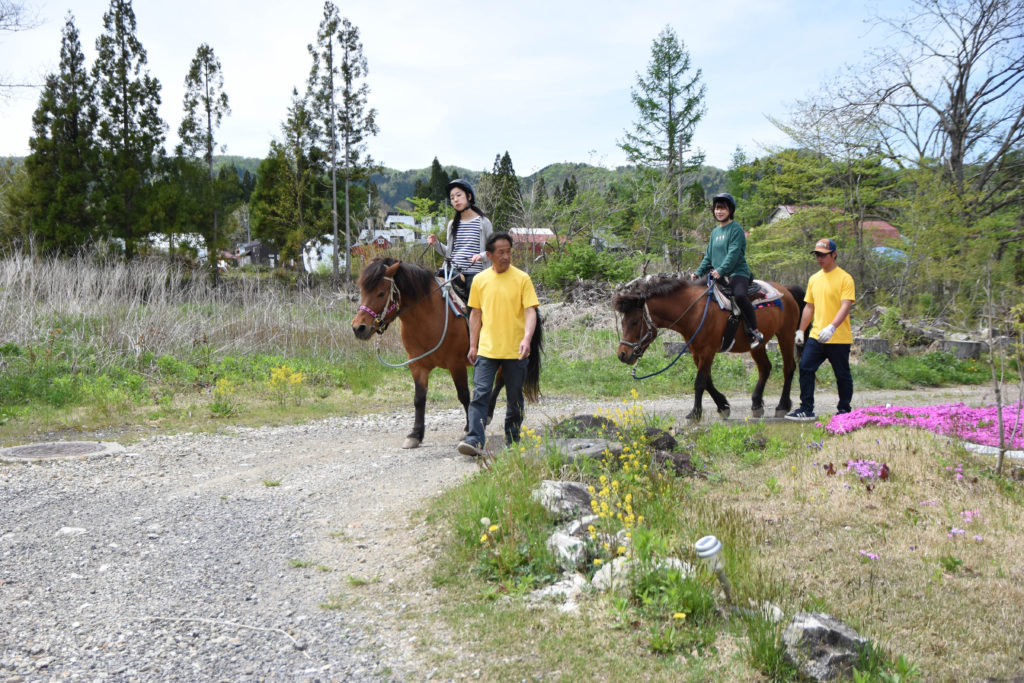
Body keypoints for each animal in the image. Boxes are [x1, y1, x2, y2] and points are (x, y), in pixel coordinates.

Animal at [352, 255, 544, 448]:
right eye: (362, 291)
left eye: (381, 293)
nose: (358, 328)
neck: (428, 317)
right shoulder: (417, 364)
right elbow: (419, 399)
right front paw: (415, 434)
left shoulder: (456, 364)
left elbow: (464, 395)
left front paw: (468, 428)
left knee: (501, 382)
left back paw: (488, 414)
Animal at [610, 274, 802, 421]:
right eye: (622, 321)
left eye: (635, 321)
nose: (622, 354)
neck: (694, 310)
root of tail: (786, 289)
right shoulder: (697, 351)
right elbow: (707, 380)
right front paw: (723, 405)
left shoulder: (708, 350)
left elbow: (700, 382)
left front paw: (695, 413)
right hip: (757, 345)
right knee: (765, 368)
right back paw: (756, 404)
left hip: (786, 335)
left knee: (788, 368)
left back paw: (782, 405)